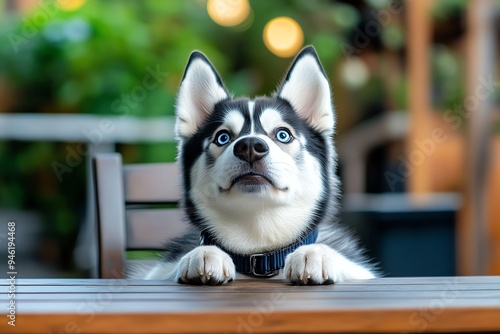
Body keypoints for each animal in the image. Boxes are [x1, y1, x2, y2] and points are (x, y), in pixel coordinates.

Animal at [144, 46, 376, 284]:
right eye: (222, 137)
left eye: (283, 134)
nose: (249, 147)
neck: (258, 253)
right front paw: (205, 252)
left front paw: (314, 253)